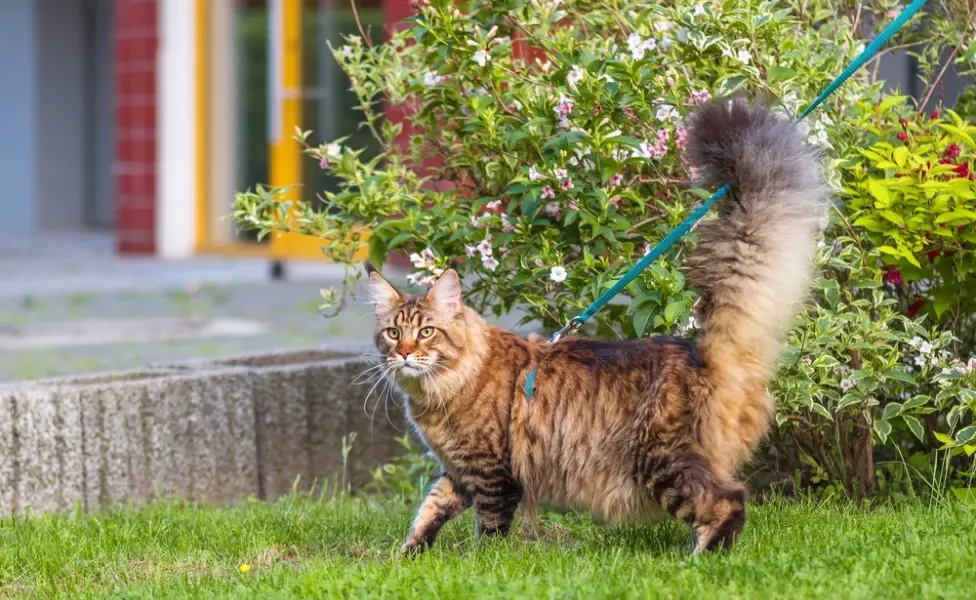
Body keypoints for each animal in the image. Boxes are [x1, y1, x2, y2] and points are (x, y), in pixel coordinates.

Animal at [364, 97, 824, 552]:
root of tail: (699, 350)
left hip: (661, 459)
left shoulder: (493, 471)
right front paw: (409, 556)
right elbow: (429, 511)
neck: (440, 390)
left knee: (729, 500)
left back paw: (699, 558)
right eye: (393, 333)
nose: (405, 353)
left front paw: (483, 561)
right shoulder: (457, 472)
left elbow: (489, 529)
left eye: (426, 332)